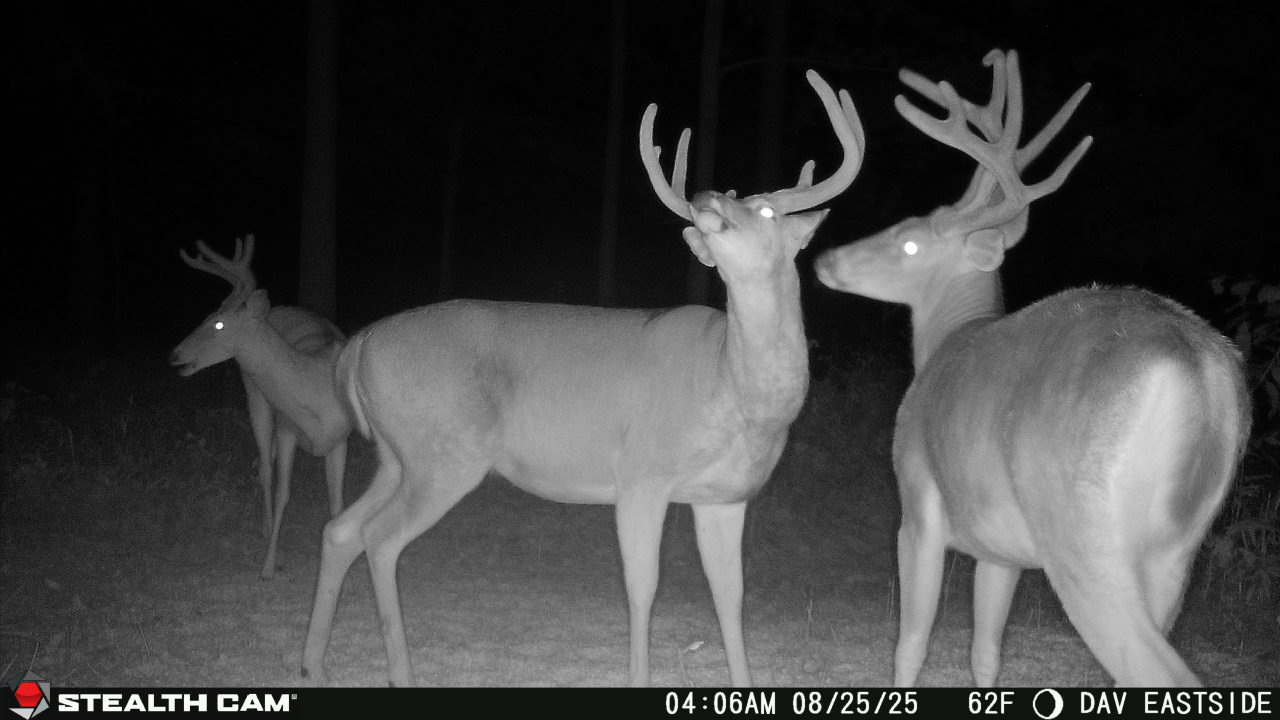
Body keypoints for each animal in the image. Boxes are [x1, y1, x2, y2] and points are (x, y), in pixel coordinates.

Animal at [171, 235, 352, 580]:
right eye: (205, 316)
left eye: (217, 324)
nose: (175, 354)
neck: (314, 388)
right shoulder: (286, 428)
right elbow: (283, 493)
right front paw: (268, 565)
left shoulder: (341, 439)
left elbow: (337, 502)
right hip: (255, 396)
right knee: (265, 468)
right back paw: (266, 526)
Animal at [299, 70, 865, 687]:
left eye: (765, 211)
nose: (702, 198)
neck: (737, 393)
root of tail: (356, 345)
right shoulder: (641, 474)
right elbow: (642, 590)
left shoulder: (725, 496)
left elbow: (730, 597)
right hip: (442, 454)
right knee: (379, 540)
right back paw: (399, 673)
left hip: (397, 456)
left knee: (339, 529)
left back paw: (312, 665)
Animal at [813, 50, 1250, 686]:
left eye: (910, 241)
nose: (826, 258)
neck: (946, 340)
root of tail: (1194, 363)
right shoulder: (1000, 549)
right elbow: (985, 650)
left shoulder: (918, 505)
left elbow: (911, 642)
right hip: (1175, 550)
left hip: (1081, 533)